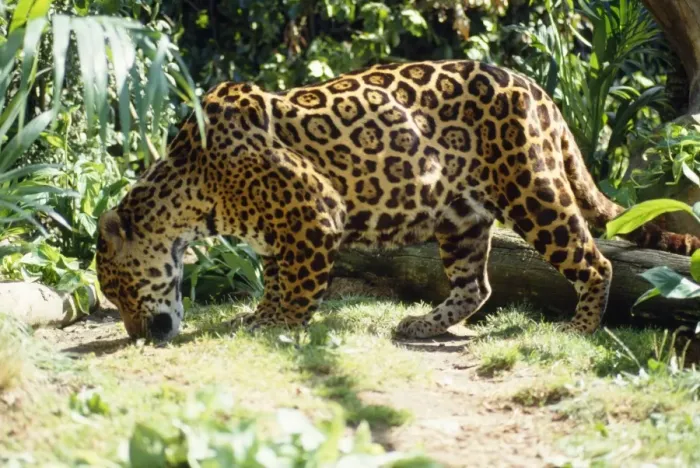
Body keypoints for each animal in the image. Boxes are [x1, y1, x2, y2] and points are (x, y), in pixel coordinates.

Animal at [96, 59, 700, 342]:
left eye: (121, 289)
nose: (136, 336)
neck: (192, 191)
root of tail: (536, 88)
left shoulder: (315, 214)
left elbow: (298, 285)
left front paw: (280, 324)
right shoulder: (277, 234)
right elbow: (276, 277)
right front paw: (263, 314)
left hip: (533, 188)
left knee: (594, 261)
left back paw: (580, 328)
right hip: (461, 217)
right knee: (476, 286)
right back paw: (423, 325)